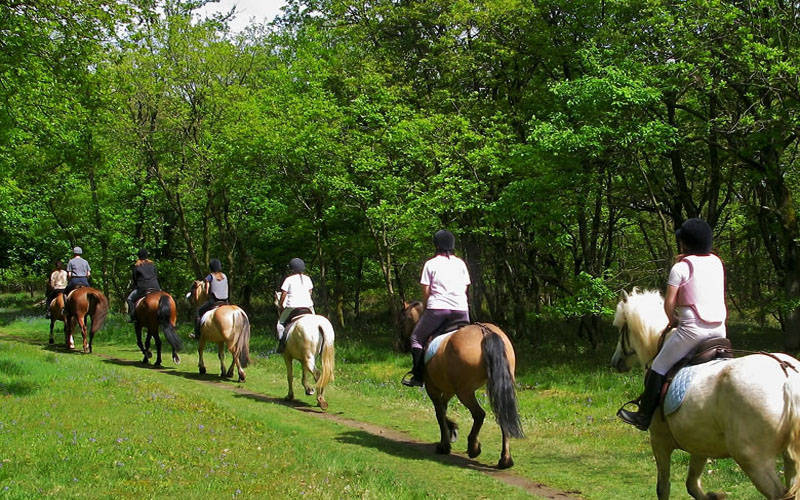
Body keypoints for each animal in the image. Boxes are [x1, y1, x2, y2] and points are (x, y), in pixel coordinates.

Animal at [400, 308, 524, 468]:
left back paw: (473, 447)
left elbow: (439, 413)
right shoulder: (449, 389)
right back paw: (505, 459)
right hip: (494, 388)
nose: (401, 344)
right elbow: (443, 408)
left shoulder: (432, 388)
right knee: (503, 416)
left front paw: (444, 445)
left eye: (403, 320)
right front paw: (452, 430)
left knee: (479, 414)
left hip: (465, 392)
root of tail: (485, 331)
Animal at [608, 288, 800, 498]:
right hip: (788, 459)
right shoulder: (699, 444)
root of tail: (786, 376)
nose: (615, 362)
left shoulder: (659, 441)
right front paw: (715, 496)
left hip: (755, 460)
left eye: (621, 329)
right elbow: (692, 485)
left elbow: (663, 487)